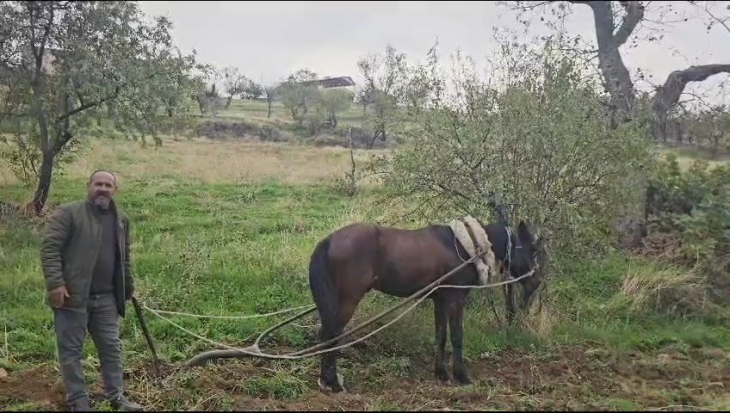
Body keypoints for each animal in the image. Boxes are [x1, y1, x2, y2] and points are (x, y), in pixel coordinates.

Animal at [304, 217, 536, 392]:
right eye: (533, 250)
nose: (536, 282)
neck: (467, 248)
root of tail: (329, 240)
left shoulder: (440, 300)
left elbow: (441, 336)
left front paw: (442, 374)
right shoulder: (456, 298)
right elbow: (457, 337)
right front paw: (461, 376)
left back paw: (327, 380)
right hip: (348, 300)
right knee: (331, 335)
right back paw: (333, 383)